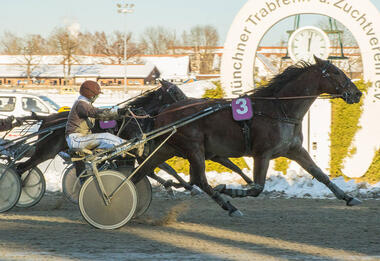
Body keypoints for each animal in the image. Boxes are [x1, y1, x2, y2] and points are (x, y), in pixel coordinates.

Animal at [133, 56, 362, 215]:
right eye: (336, 72)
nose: (357, 93)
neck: (280, 110)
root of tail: (163, 112)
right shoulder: (262, 153)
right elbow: (257, 187)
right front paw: (228, 189)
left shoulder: (294, 150)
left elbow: (320, 174)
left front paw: (348, 197)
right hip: (194, 149)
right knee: (200, 180)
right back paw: (229, 206)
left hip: (167, 148)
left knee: (143, 172)